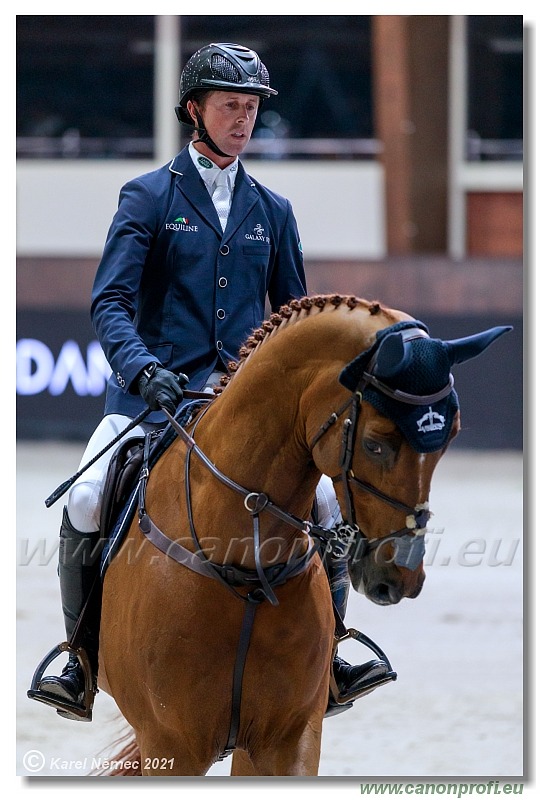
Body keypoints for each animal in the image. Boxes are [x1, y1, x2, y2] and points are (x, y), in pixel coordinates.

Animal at [90, 294, 508, 776]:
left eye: (449, 438)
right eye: (375, 443)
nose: (401, 576)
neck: (243, 569)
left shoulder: (290, 738)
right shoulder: (170, 744)